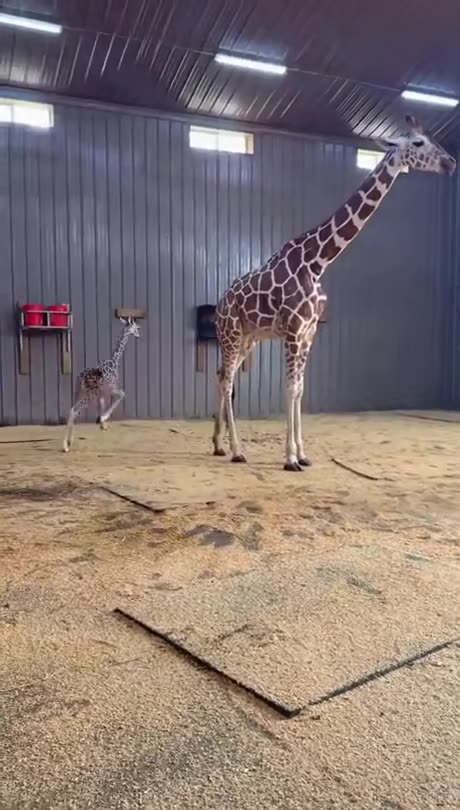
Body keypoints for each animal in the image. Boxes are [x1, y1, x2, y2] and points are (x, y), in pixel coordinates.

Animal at [63, 316, 140, 453]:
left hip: (79, 392)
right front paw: (103, 418)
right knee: (74, 411)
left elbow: (103, 404)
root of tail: (80, 377)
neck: (114, 361)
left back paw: (69, 442)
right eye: (135, 327)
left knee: (73, 410)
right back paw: (66, 446)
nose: (138, 335)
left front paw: (101, 423)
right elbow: (122, 394)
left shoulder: (101, 393)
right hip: (89, 395)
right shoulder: (111, 387)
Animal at [212, 115, 456, 471]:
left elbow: (300, 390)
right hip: (230, 334)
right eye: (418, 143)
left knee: (221, 377)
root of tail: (219, 304)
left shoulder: (309, 332)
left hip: (248, 339)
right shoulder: (294, 330)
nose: (451, 163)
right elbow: (291, 388)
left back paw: (217, 444)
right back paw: (237, 449)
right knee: (228, 380)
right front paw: (289, 458)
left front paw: (302, 453)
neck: (318, 262)